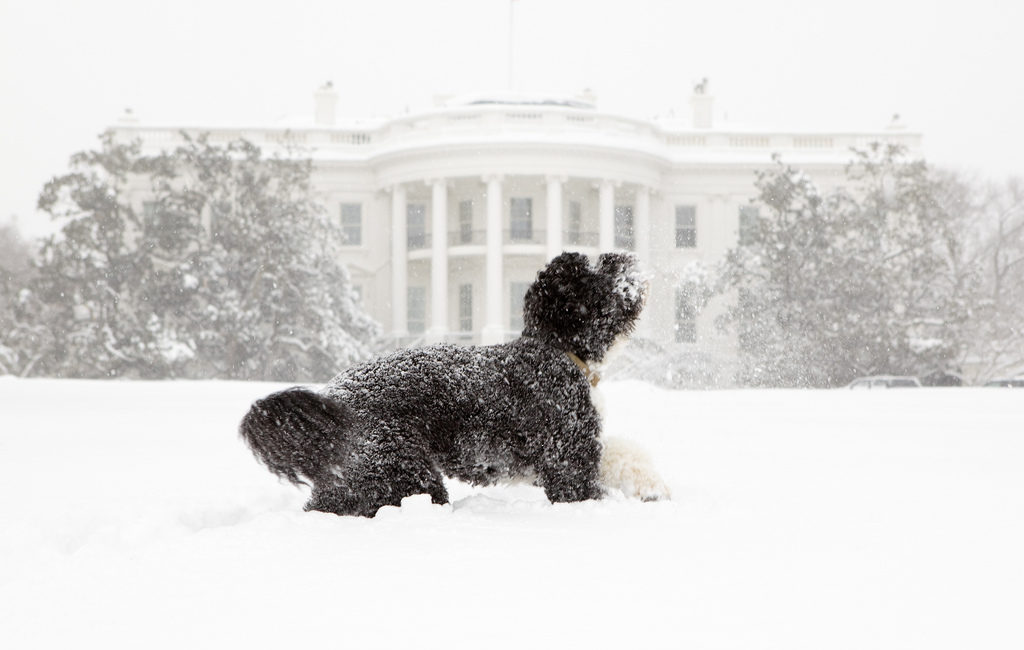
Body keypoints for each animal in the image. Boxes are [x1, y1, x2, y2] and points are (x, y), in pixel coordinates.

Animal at [240, 251, 671, 515]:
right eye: (595, 275)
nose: (622, 257)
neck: (556, 350)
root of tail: (333, 400)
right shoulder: (566, 456)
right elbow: (582, 486)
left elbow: (619, 453)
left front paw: (649, 482)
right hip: (401, 471)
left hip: (355, 477)